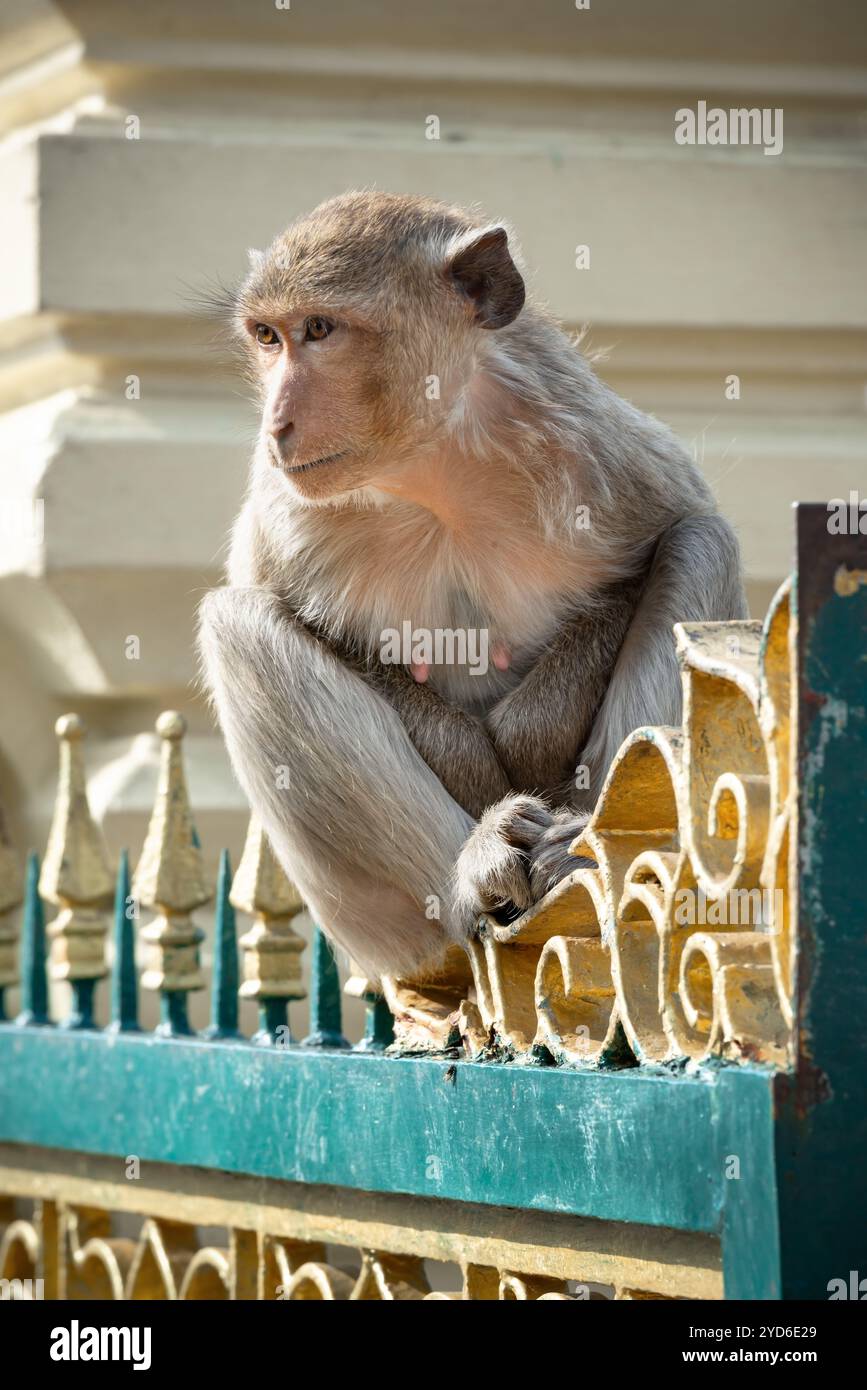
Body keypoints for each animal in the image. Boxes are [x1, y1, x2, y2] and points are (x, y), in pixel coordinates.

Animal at [198, 190, 744, 984]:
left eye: (319, 330)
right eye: (268, 337)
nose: (278, 421)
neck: (432, 475)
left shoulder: (596, 449)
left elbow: (664, 541)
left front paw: (528, 738)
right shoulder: (283, 510)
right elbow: (291, 618)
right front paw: (472, 758)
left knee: (702, 544)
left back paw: (580, 852)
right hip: (380, 936)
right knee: (237, 624)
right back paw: (477, 871)